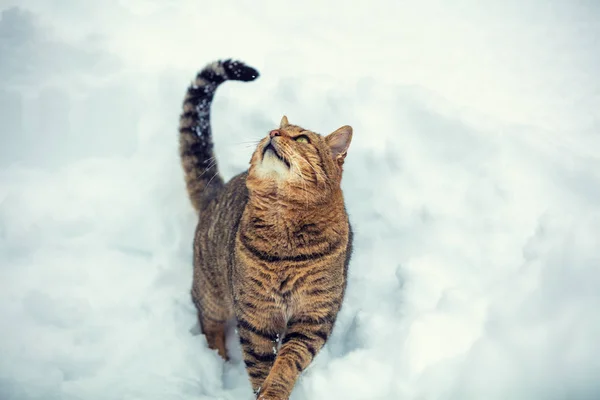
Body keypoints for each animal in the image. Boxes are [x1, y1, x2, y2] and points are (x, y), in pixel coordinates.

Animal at [180, 59, 354, 400]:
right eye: (274, 130)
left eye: (302, 139)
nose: (273, 132)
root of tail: (215, 193)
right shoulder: (256, 314)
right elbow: (260, 362)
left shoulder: (313, 315)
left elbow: (287, 360)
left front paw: (274, 389)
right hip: (213, 291)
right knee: (209, 322)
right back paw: (218, 359)